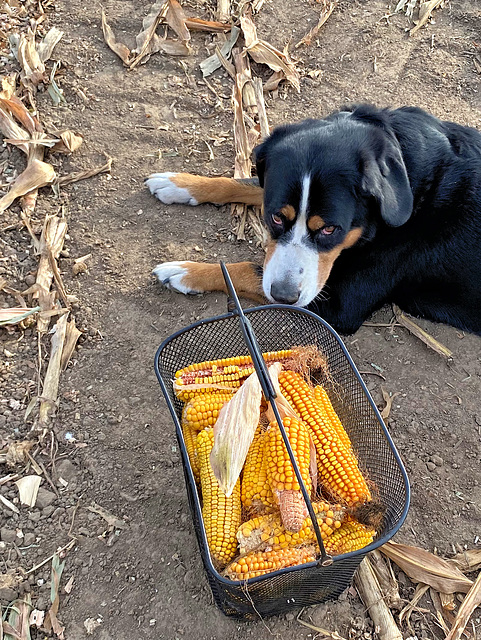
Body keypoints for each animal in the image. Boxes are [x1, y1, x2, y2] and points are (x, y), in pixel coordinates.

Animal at [144, 104, 480, 336]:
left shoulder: (340, 303)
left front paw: (186, 272)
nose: (285, 295)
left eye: (330, 229)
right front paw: (182, 184)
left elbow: (247, 270)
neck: (409, 175)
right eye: (275, 217)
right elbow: (246, 184)